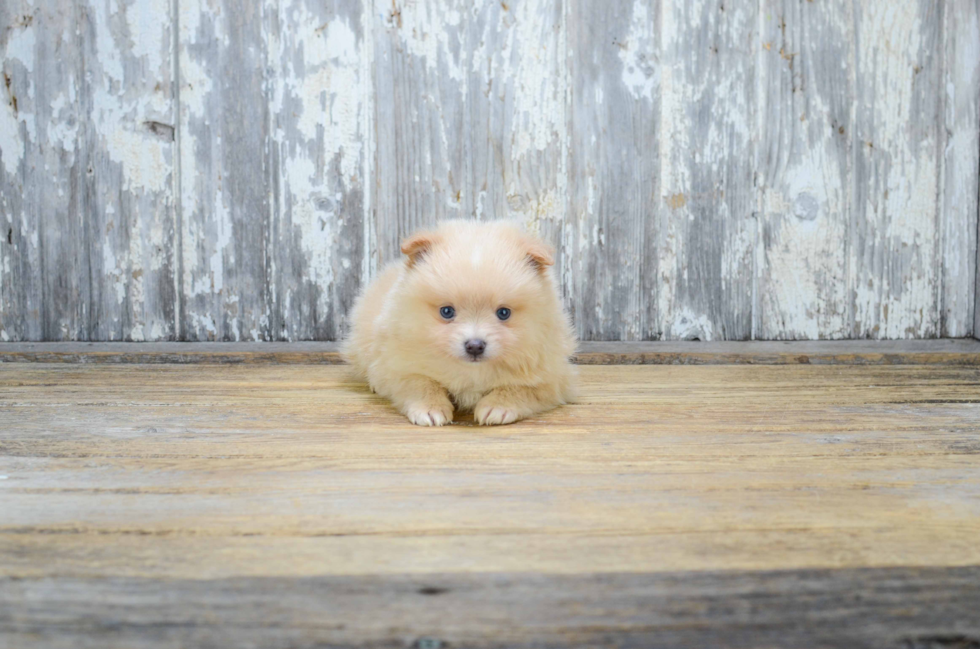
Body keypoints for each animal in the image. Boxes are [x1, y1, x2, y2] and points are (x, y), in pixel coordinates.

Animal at [342, 220, 576, 428]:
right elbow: (419, 383)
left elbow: (522, 389)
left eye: (503, 313)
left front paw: (497, 406)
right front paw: (430, 408)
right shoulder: (396, 365)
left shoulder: (552, 378)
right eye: (447, 311)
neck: (471, 370)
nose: (475, 346)